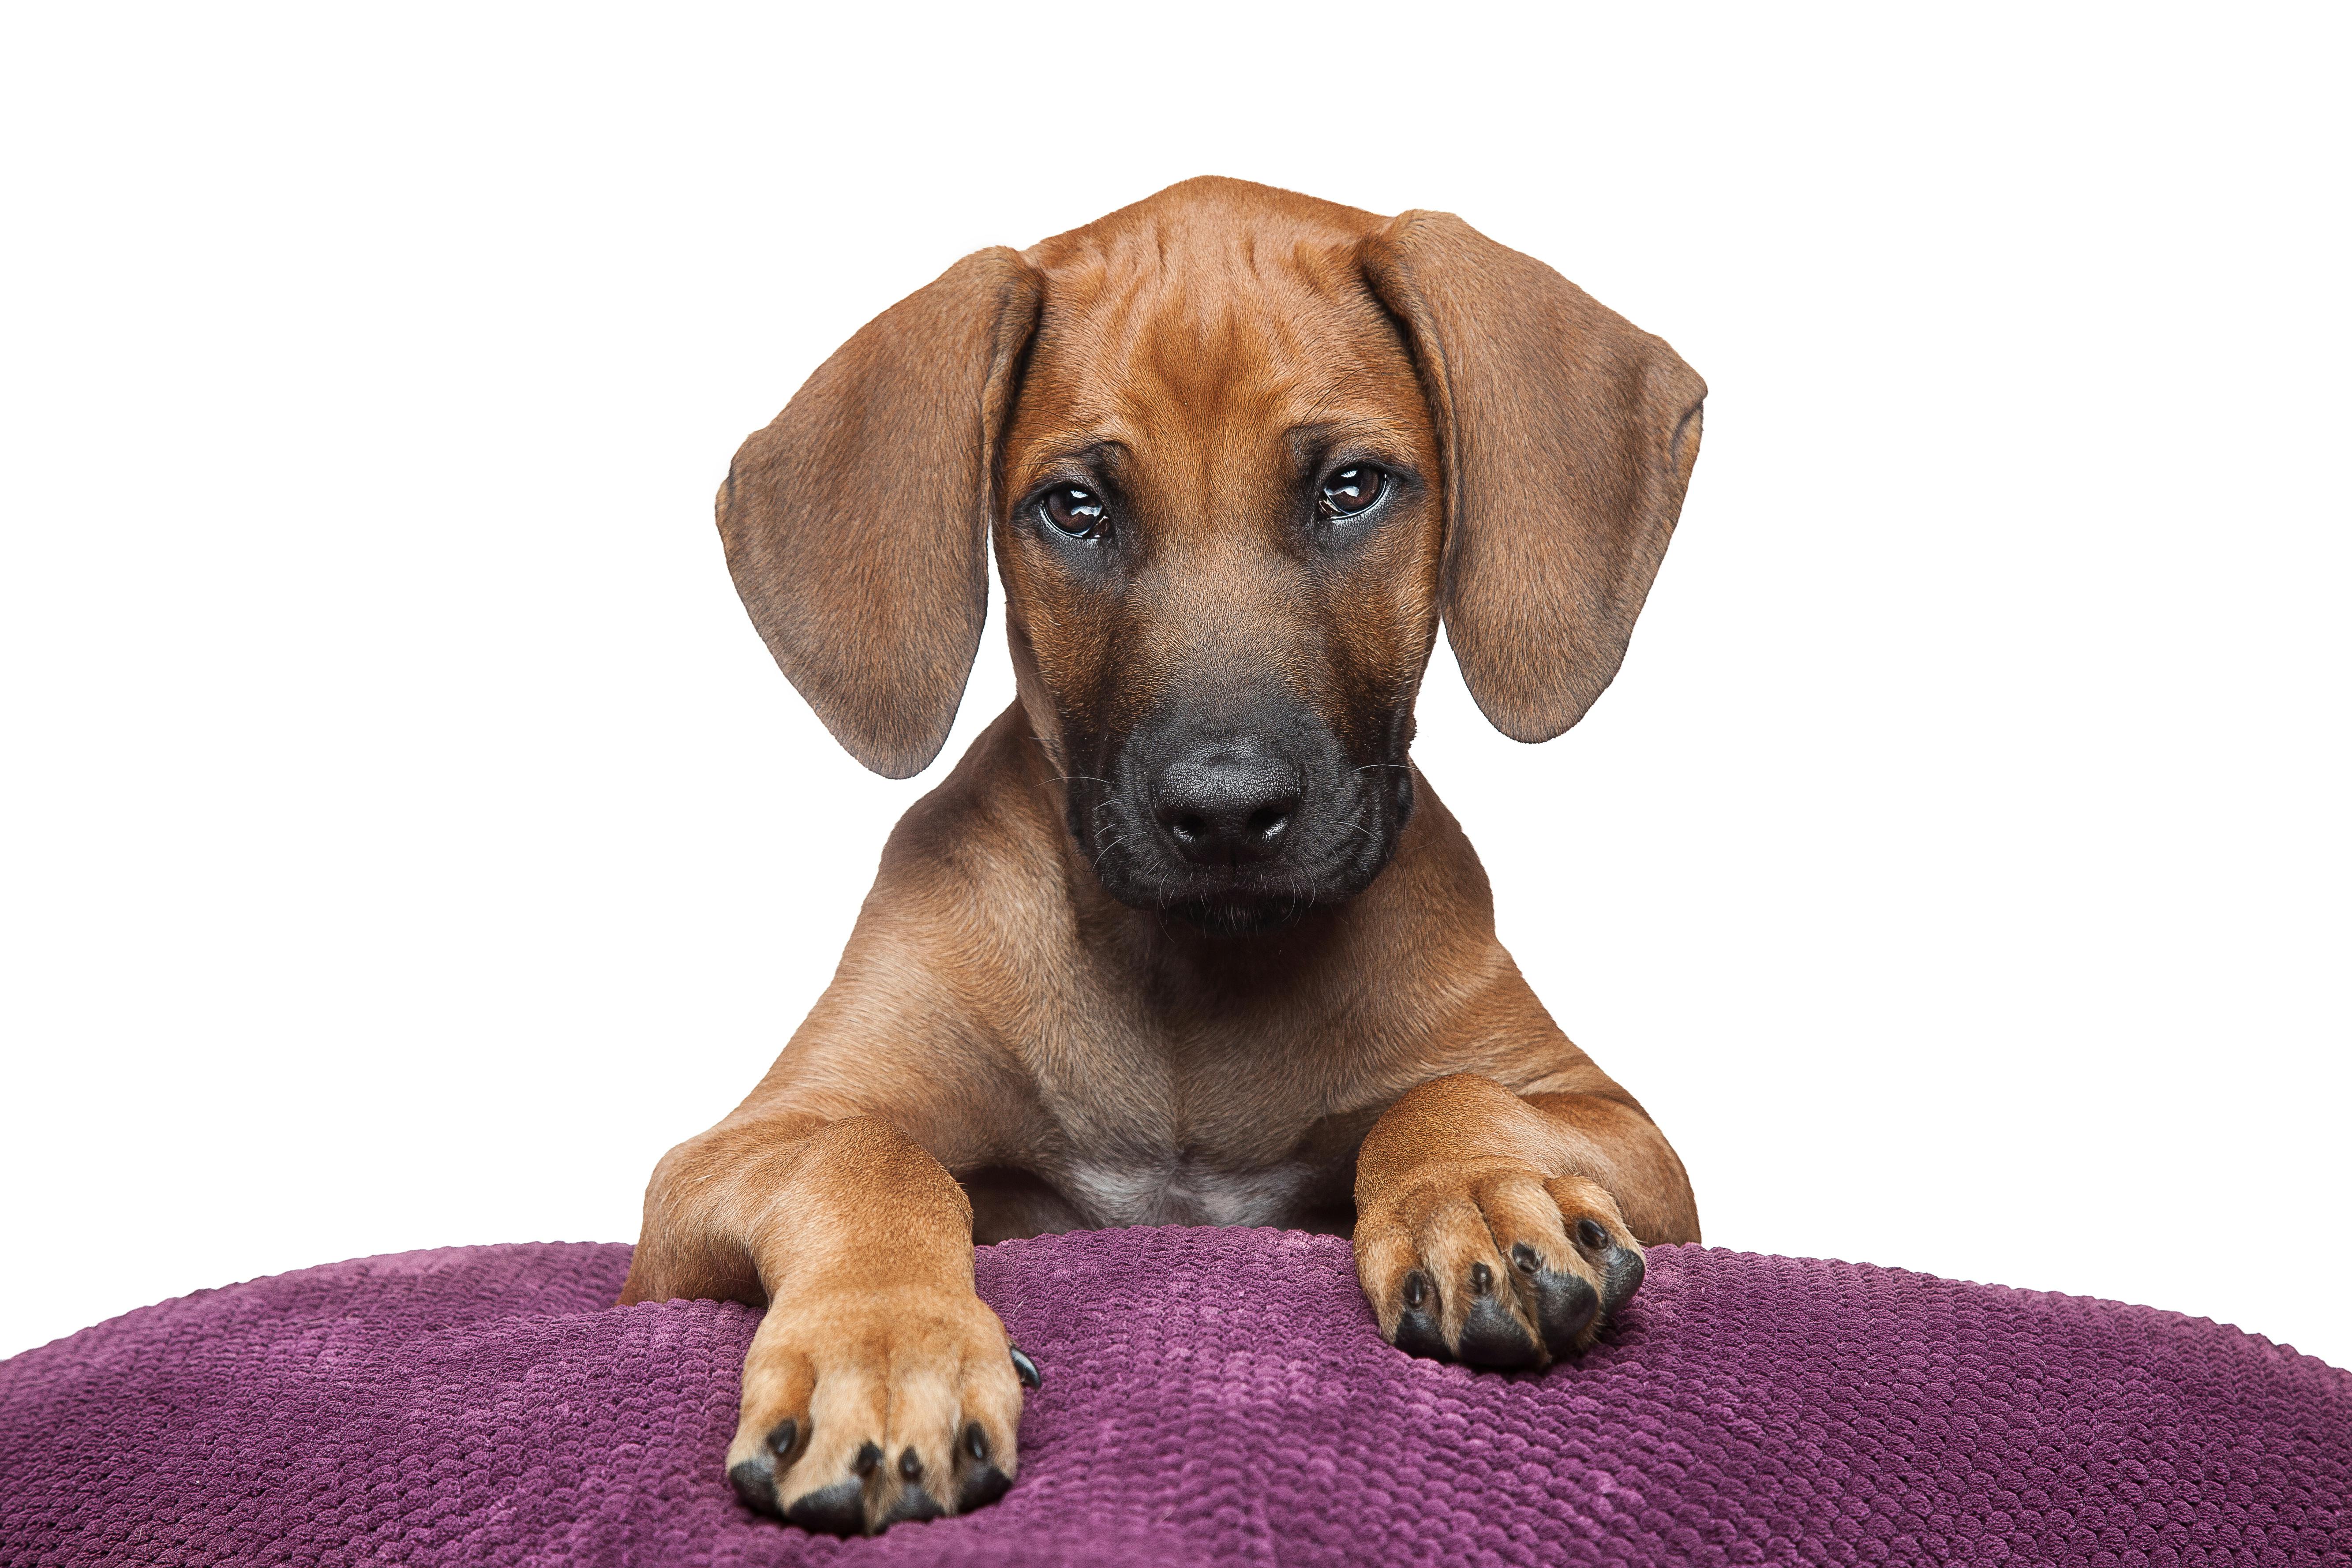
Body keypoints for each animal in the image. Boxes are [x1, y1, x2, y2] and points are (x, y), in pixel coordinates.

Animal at [616, 175, 1703, 1533]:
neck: (1193, 975)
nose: (1226, 813)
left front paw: (1483, 1197)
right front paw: (883, 1347)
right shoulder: (724, 1158)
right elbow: (862, 1149)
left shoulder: (1620, 1127)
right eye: (1075, 510)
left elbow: (1453, 1092)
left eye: (1352, 487)